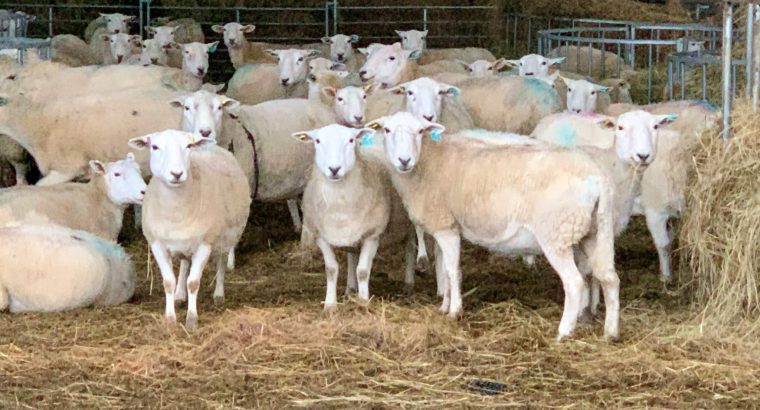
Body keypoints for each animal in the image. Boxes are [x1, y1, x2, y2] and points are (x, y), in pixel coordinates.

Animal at [129, 130, 250, 330]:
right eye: (154, 146)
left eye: (188, 146)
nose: (177, 173)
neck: (176, 210)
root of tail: (213, 145)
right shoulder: (157, 245)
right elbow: (168, 282)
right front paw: (170, 319)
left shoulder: (204, 245)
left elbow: (193, 283)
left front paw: (192, 320)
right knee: (185, 264)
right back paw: (179, 296)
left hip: (224, 236)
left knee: (221, 261)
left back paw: (219, 294)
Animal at [296, 124, 416, 308]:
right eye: (317, 141)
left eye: (351, 140)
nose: (334, 169)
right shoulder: (320, 236)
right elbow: (331, 269)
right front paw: (330, 304)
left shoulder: (372, 235)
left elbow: (363, 270)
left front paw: (363, 302)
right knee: (352, 255)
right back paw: (350, 289)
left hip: (409, 222)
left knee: (410, 247)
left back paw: (409, 283)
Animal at [366, 111, 620, 341]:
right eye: (386, 130)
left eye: (420, 131)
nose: (404, 161)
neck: (429, 162)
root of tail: (596, 178)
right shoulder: (446, 225)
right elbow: (444, 270)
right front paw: (444, 306)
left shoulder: (446, 228)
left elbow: (453, 271)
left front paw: (455, 311)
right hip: (596, 231)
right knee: (610, 278)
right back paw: (610, 332)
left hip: (556, 233)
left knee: (575, 283)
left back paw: (564, 331)